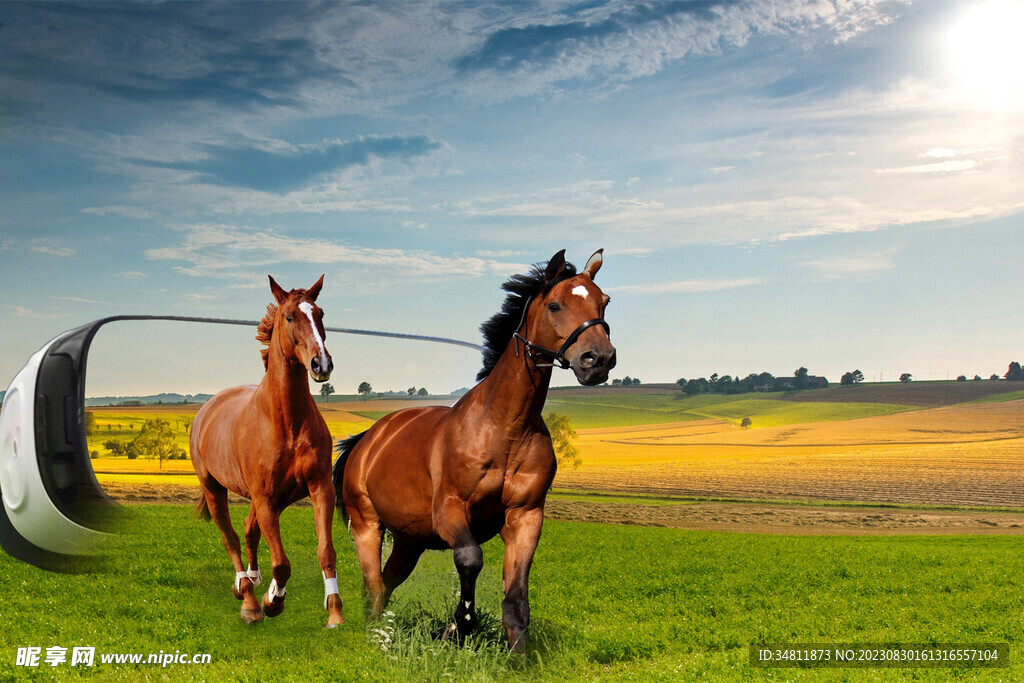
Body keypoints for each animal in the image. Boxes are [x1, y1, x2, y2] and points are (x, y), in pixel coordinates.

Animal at [190, 275, 344, 627]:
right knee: (230, 537)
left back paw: (254, 580)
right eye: (289, 316)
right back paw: (247, 596)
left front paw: (334, 611)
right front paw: (272, 602)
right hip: (216, 489)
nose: (321, 364)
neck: (286, 422)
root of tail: (207, 408)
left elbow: (325, 552)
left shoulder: (318, 488)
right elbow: (282, 562)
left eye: (321, 314)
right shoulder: (264, 496)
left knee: (249, 530)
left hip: (278, 497)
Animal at [333, 249, 615, 652]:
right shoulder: (450, 511)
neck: (505, 430)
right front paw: (460, 625)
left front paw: (514, 655)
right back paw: (376, 638)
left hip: (409, 541)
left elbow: (516, 600)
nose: (599, 359)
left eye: (603, 302)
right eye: (555, 305)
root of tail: (367, 438)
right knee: (373, 585)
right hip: (366, 525)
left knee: (386, 583)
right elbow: (470, 558)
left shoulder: (525, 517)